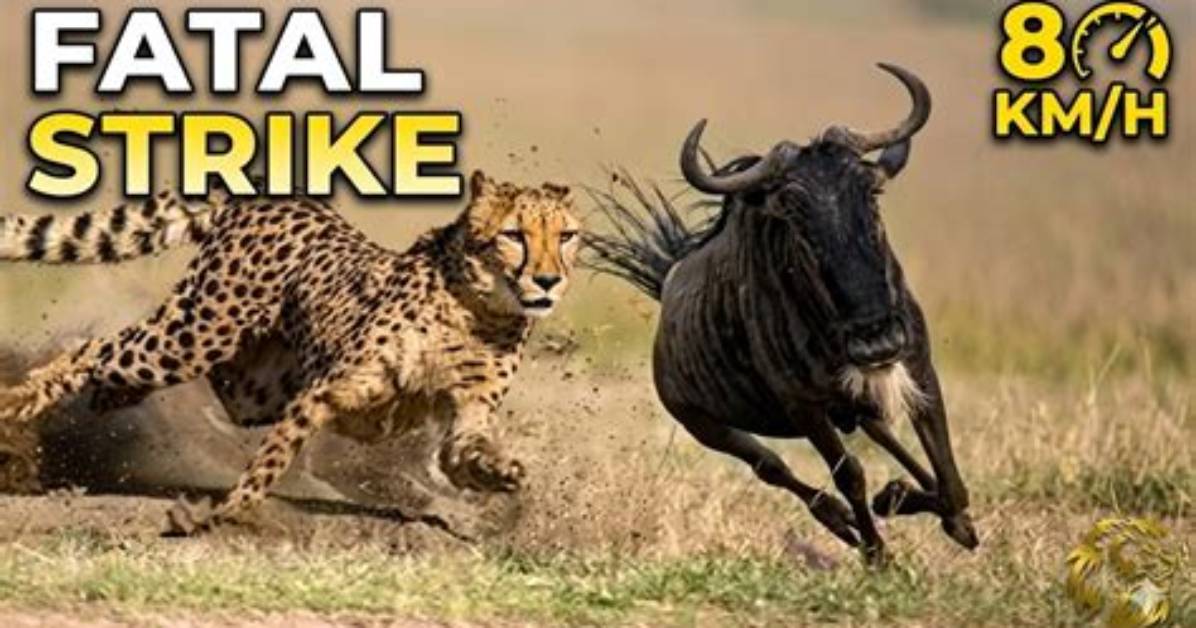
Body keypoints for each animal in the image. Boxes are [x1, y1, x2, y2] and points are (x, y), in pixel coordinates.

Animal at [0, 170, 581, 535]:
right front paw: (220, 515)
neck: (479, 308)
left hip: (253, 385)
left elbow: (463, 453)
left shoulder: (466, 408)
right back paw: (19, 400)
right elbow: (271, 462)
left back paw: (107, 399)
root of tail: (270, 195)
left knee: (168, 377)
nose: (549, 280)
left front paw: (499, 474)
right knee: (96, 346)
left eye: (567, 236)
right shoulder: (324, 392)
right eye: (514, 235)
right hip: (197, 335)